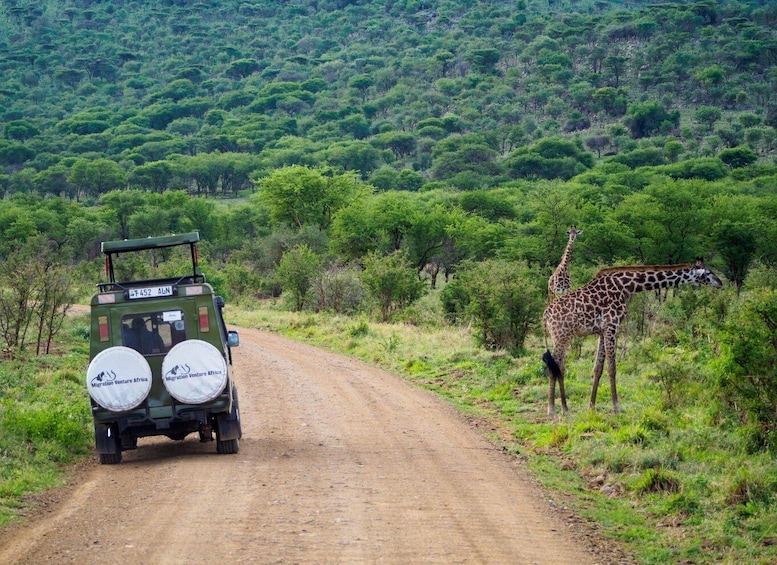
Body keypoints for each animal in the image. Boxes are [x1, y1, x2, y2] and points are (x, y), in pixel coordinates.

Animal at [540, 260, 720, 418]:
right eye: (708, 273)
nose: (720, 283)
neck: (627, 286)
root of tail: (545, 315)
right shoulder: (612, 325)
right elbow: (612, 368)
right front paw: (616, 407)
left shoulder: (603, 330)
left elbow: (598, 368)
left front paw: (591, 407)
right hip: (561, 336)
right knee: (554, 367)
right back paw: (552, 411)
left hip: (563, 337)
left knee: (559, 367)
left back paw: (565, 408)